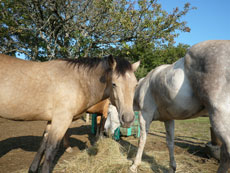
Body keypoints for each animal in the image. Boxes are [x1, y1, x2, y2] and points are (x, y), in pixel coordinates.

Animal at [0, 54, 140, 173]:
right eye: (114, 84)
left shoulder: (52, 120)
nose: (128, 119)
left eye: (135, 85)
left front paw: (33, 169)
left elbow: (42, 145)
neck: (78, 82)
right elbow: (50, 150)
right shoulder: (62, 120)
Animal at [131, 40, 230, 173]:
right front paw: (172, 167)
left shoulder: (145, 115)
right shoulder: (168, 119)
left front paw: (135, 165)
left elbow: (142, 139)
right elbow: (170, 142)